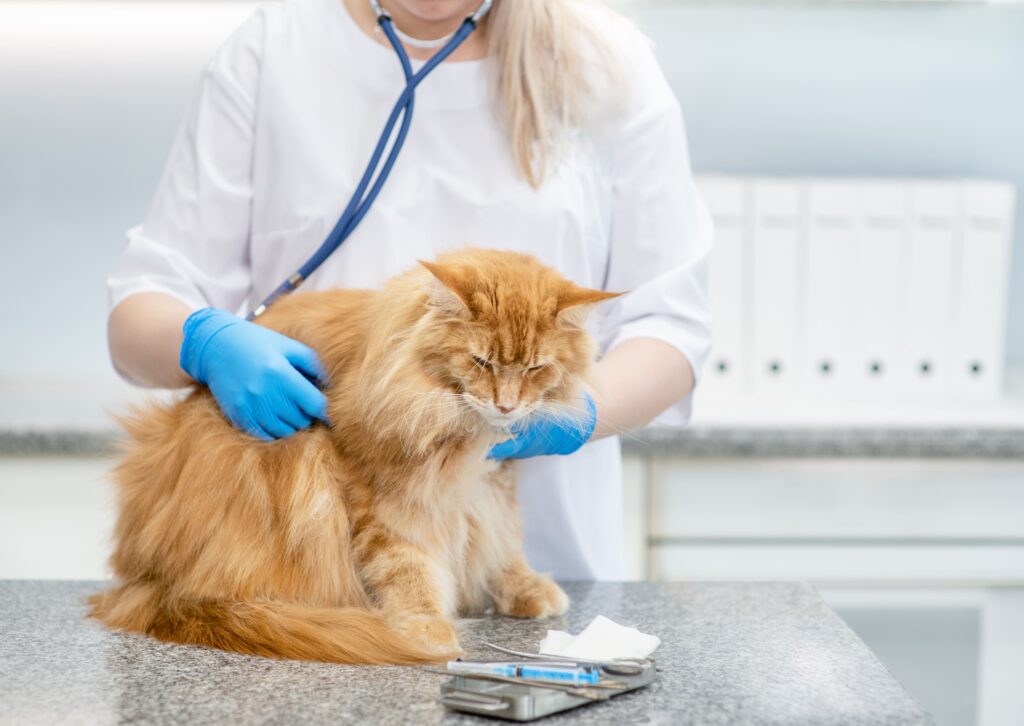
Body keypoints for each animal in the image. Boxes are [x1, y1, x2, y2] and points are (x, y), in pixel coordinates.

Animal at [90, 247, 614, 663]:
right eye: (481, 362)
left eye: (536, 369)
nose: (506, 405)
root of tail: (156, 584)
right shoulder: (382, 494)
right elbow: (409, 567)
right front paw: (427, 628)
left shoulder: (493, 477)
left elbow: (504, 538)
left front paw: (522, 586)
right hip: (294, 456)